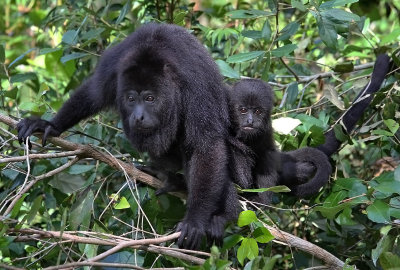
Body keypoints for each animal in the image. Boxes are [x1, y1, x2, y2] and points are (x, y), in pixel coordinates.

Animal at [18, 22, 250, 249]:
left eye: (149, 98)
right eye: (131, 99)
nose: (138, 117)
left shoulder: (195, 85)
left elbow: (207, 145)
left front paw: (195, 221)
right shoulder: (114, 68)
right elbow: (93, 94)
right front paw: (50, 124)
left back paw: (225, 214)